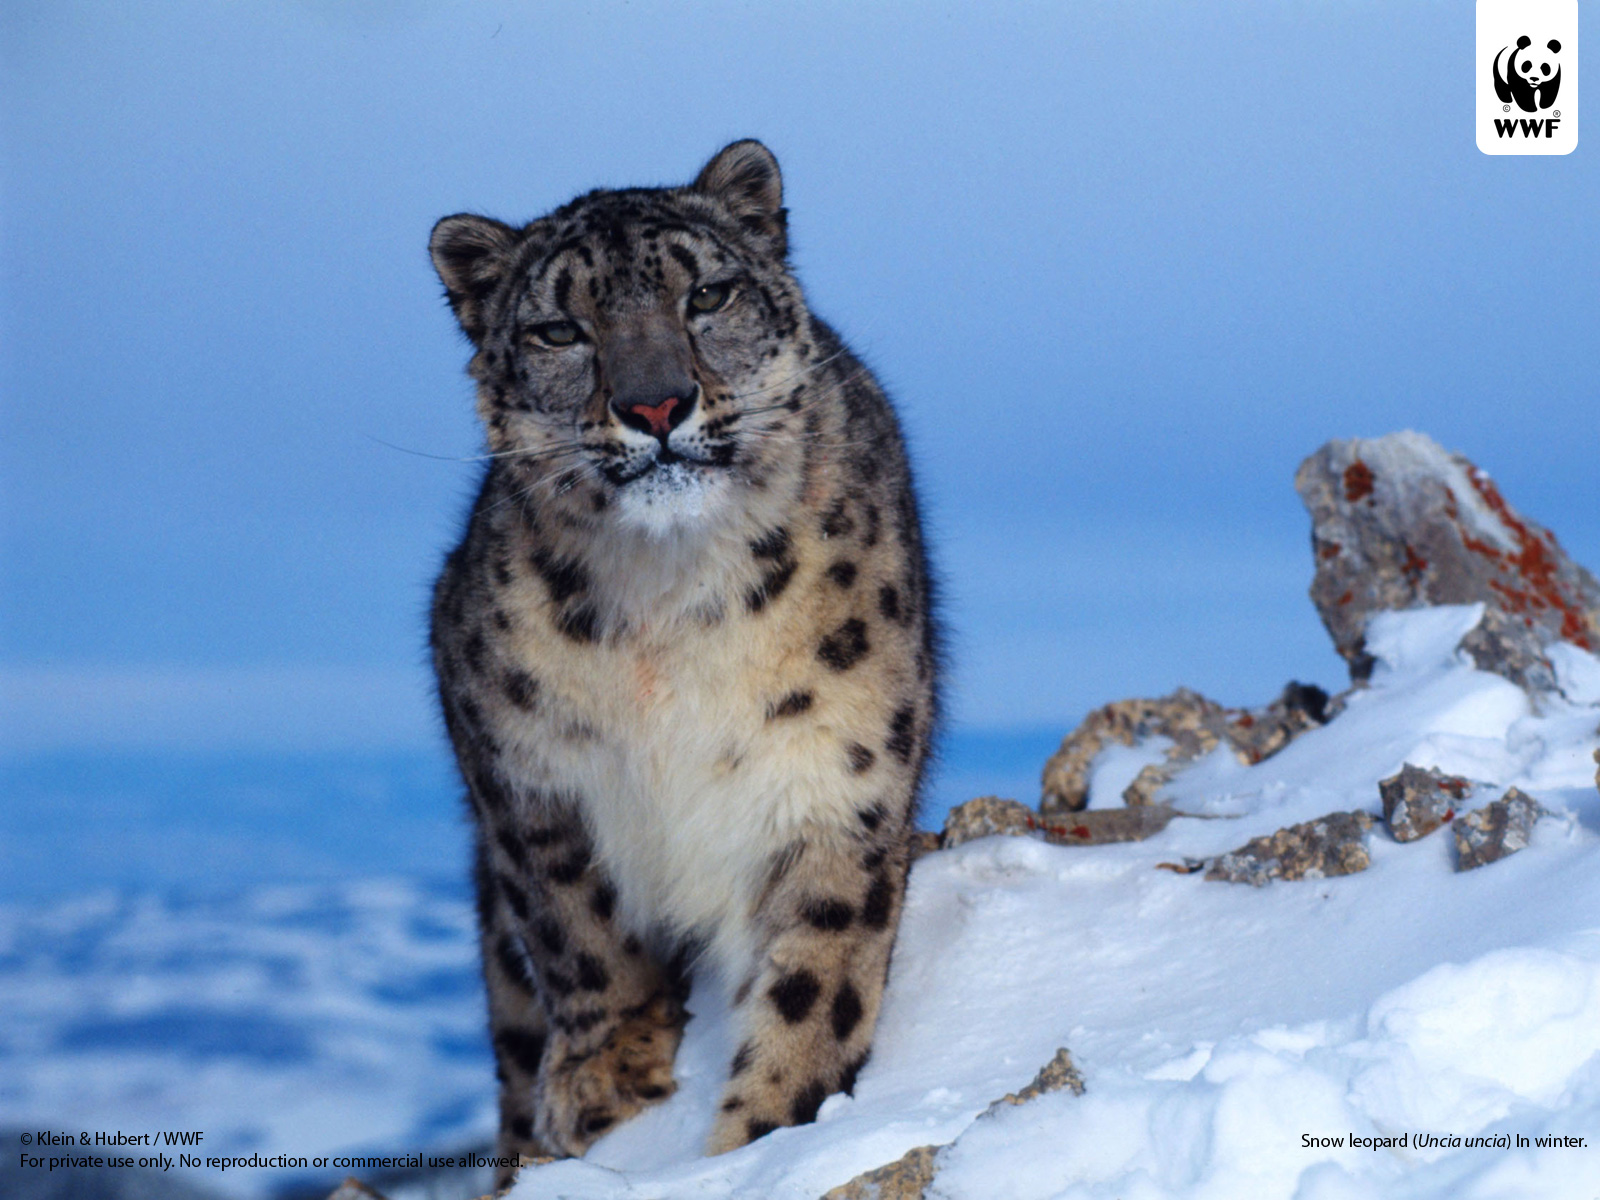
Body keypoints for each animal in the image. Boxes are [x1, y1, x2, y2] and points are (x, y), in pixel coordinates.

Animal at [432, 140, 934, 1184]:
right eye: (556, 328)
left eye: (707, 294)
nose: (655, 402)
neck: (667, 609)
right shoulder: (517, 764)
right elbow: (575, 923)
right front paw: (606, 1077)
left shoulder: (838, 778)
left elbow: (815, 984)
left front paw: (764, 1136)